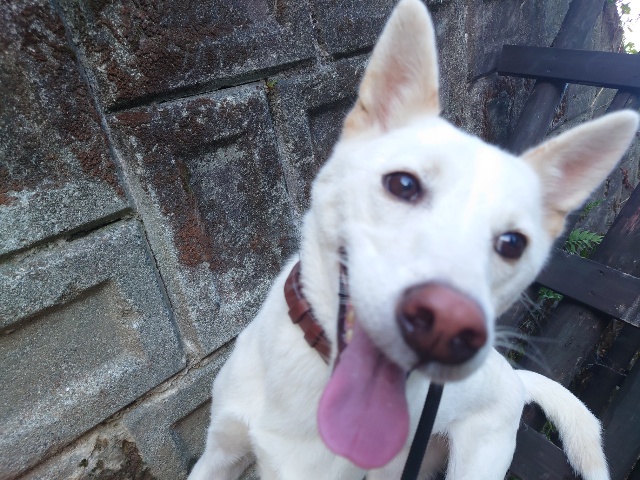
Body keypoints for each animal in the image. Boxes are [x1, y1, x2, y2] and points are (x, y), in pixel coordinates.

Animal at [188, 0, 639, 478]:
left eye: (513, 243)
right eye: (403, 184)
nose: (448, 325)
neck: (317, 370)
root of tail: (514, 379)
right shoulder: (218, 454)